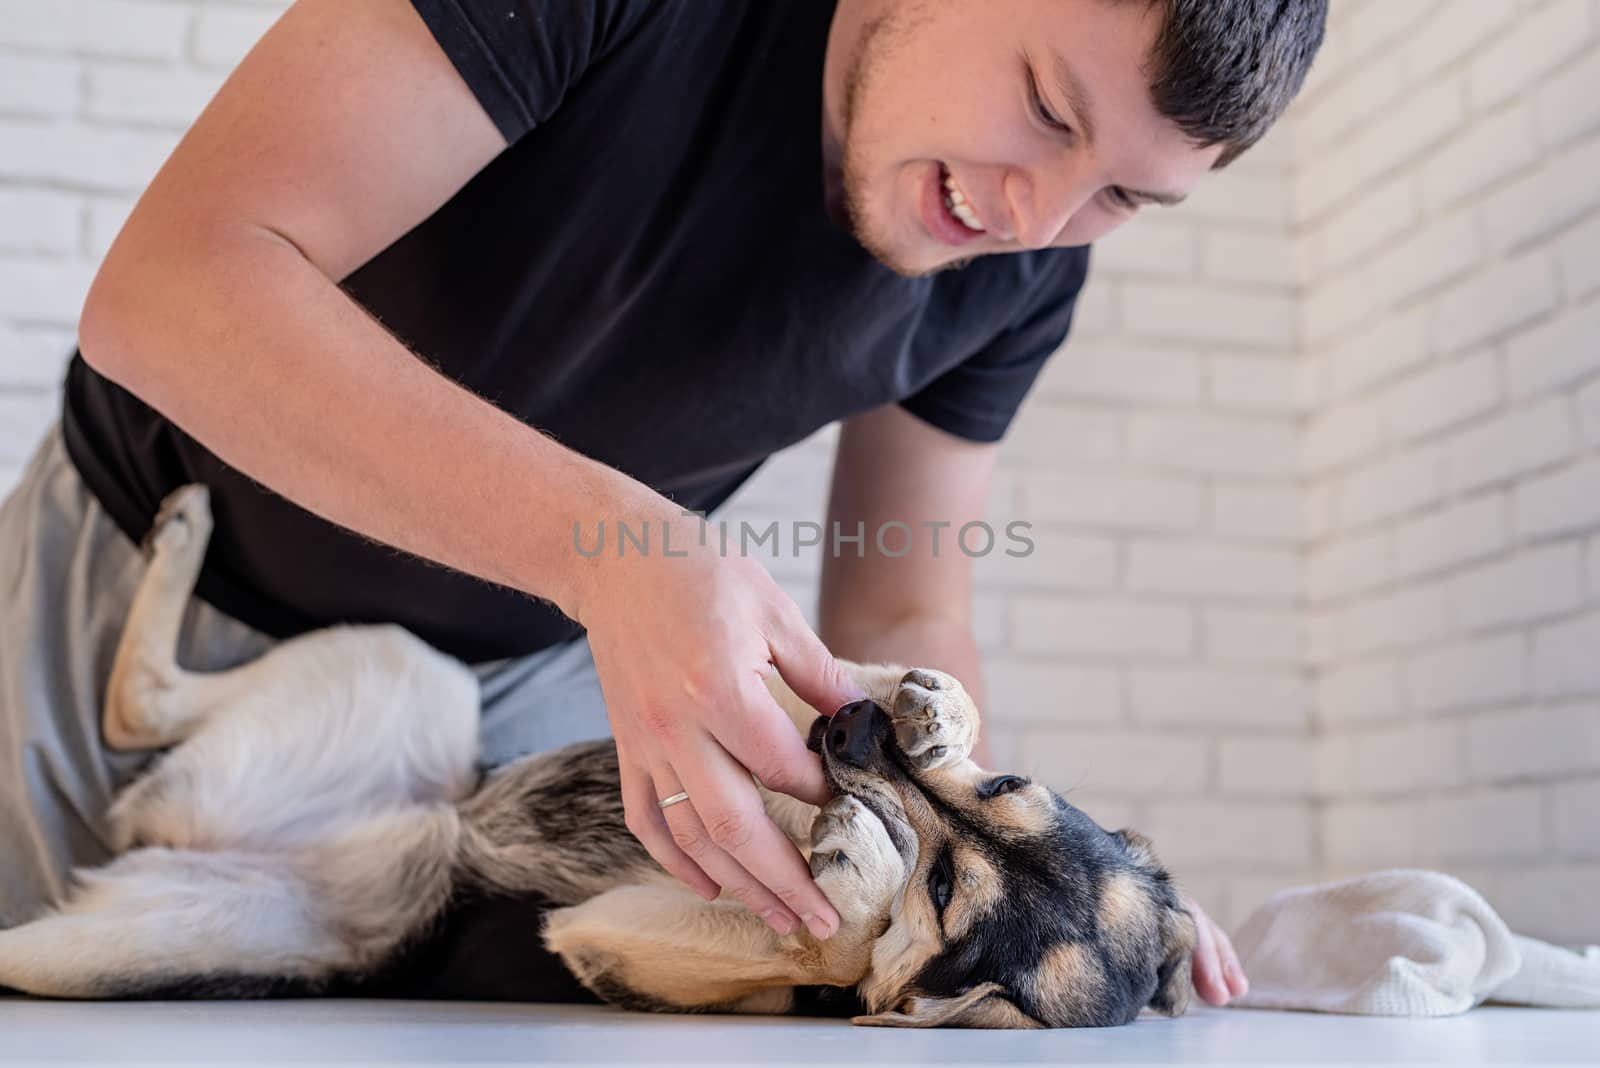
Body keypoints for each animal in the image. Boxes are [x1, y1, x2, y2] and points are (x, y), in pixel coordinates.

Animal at [0, 489, 1196, 1029]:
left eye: (947, 894)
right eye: (1006, 788)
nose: (853, 731)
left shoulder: (607, 941)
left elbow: (831, 949)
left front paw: (853, 885)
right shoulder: (749, 693)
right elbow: (804, 666)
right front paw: (931, 704)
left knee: (135, 708)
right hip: (414, 672)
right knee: (143, 698)